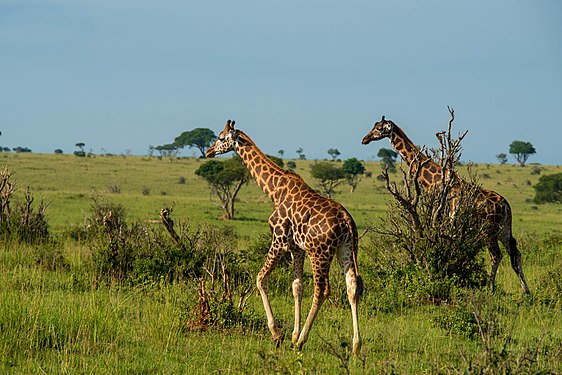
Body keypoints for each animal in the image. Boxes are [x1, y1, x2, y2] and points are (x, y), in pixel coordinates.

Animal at [206, 121, 364, 356]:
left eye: (221, 138)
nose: (208, 152)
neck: (274, 190)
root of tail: (347, 222)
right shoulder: (296, 248)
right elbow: (297, 286)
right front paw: (292, 335)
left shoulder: (279, 240)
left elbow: (260, 278)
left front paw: (278, 334)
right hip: (345, 249)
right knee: (352, 287)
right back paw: (355, 346)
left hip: (320, 253)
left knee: (322, 290)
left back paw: (303, 341)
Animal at [360, 116, 528, 296]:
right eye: (374, 126)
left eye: (379, 128)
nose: (364, 139)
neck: (435, 180)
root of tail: (506, 206)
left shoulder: (440, 212)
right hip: (504, 229)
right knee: (515, 254)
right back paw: (526, 291)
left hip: (488, 229)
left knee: (496, 255)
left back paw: (490, 288)